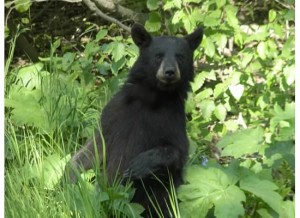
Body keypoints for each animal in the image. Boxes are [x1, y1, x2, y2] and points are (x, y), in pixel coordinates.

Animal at [64, 23, 203, 217]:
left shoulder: (172, 118)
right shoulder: (115, 112)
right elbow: (95, 147)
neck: (152, 98)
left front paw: (140, 164)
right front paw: (70, 179)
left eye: (180, 57)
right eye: (158, 55)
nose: (169, 72)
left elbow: (178, 152)